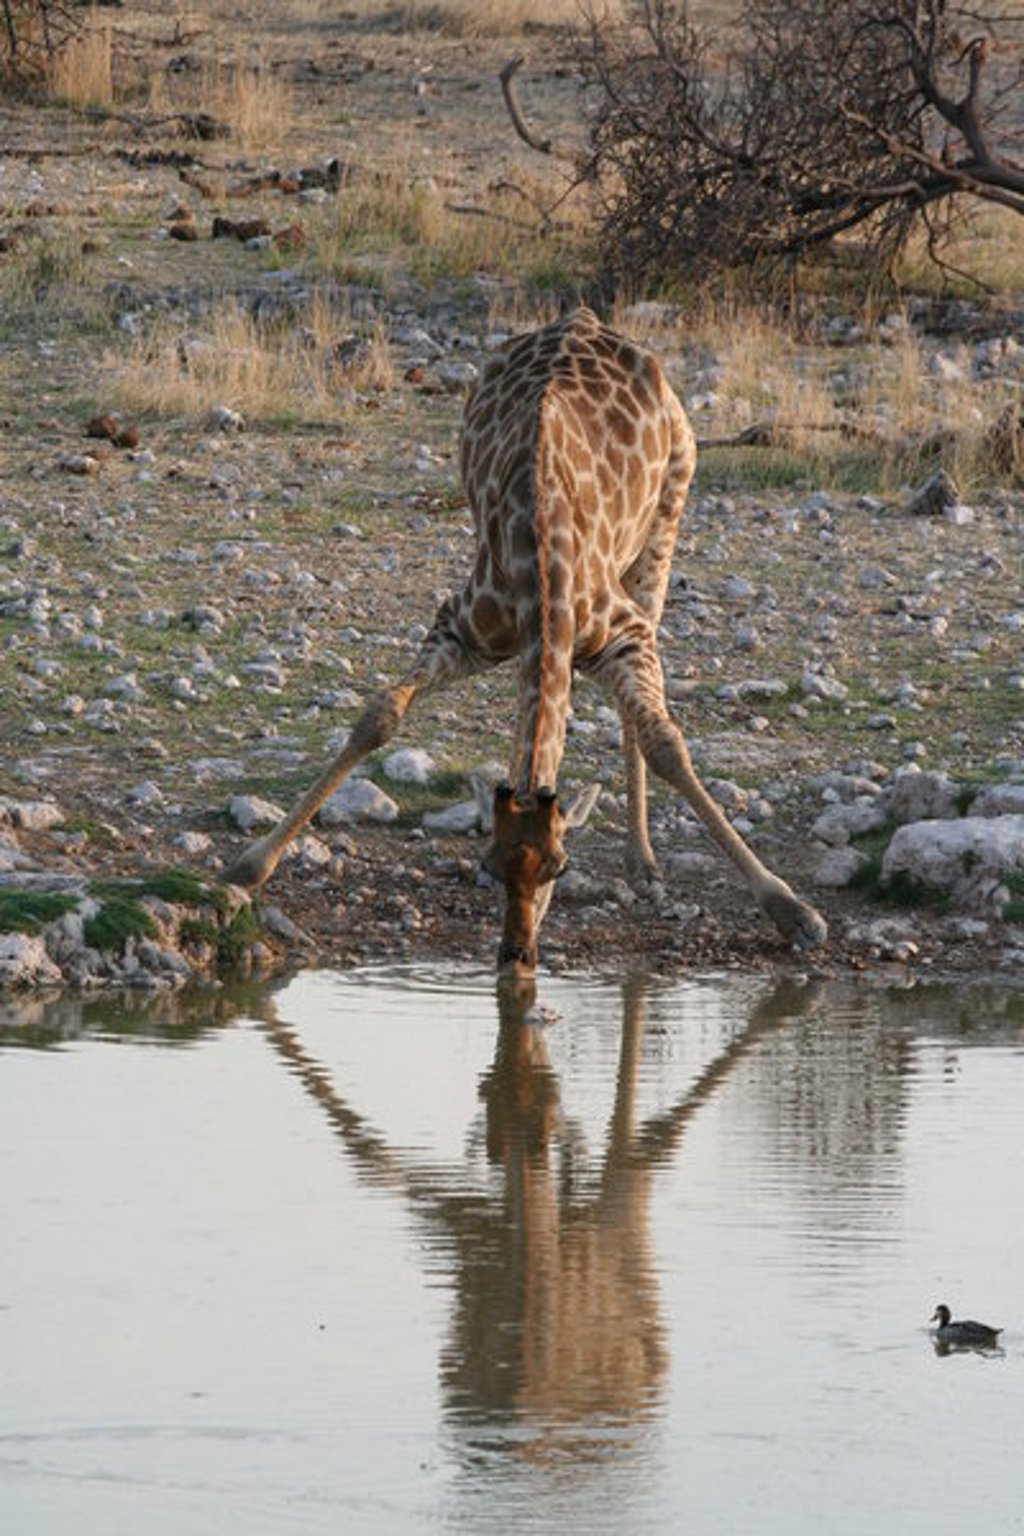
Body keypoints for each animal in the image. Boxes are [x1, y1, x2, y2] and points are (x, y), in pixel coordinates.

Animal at [224, 307, 827, 970]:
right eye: (488, 866)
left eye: (559, 868)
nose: (517, 953)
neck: (544, 567)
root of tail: (582, 317)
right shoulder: (464, 625)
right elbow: (381, 714)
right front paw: (248, 868)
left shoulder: (623, 632)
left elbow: (666, 742)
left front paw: (793, 911)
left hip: (667, 518)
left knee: (640, 695)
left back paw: (643, 862)